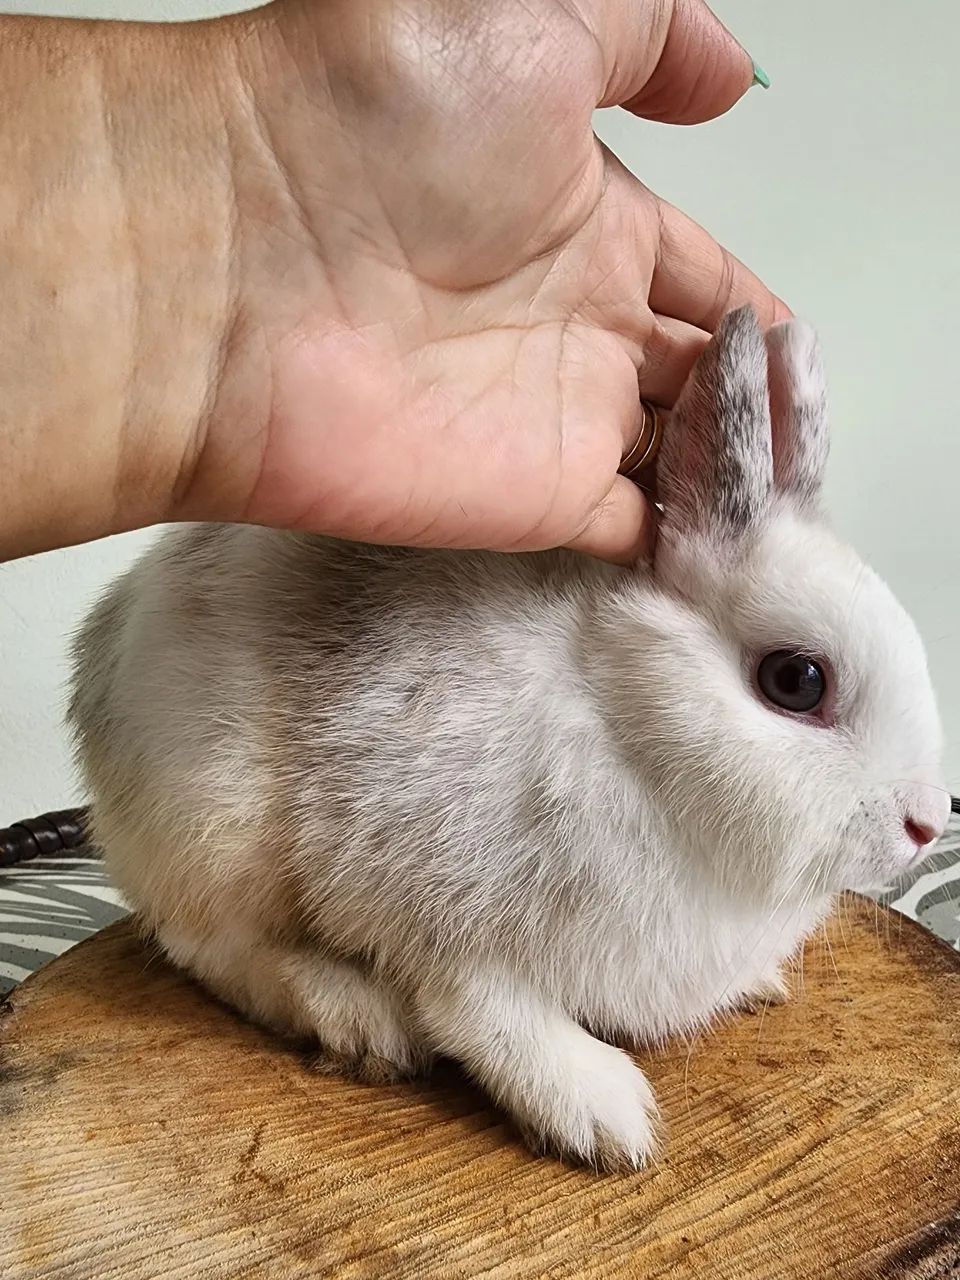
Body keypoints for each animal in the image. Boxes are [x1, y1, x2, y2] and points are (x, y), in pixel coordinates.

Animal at [68, 307, 949, 1171]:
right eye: (796, 681)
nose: (928, 824)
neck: (627, 730)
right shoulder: (439, 913)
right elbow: (483, 1012)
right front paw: (602, 1116)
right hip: (216, 822)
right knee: (208, 945)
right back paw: (356, 1017)